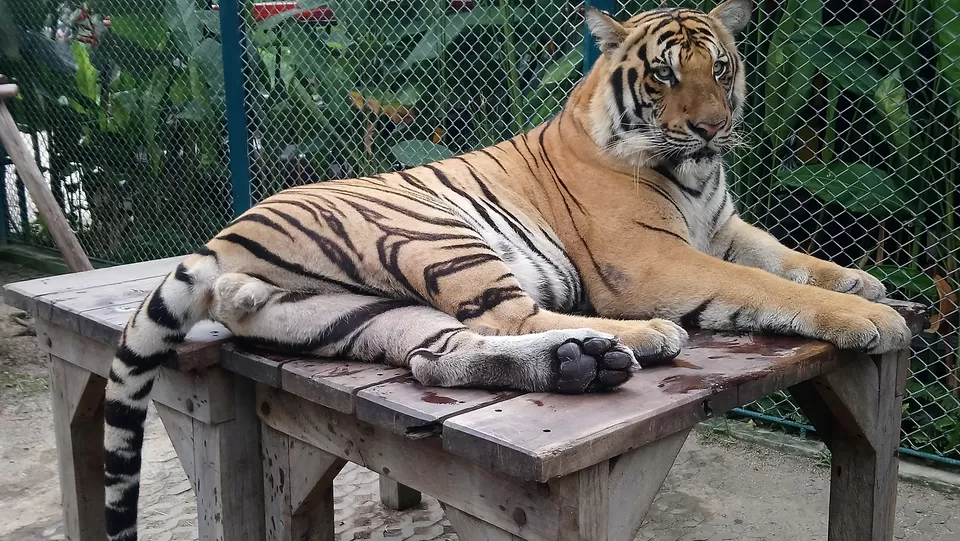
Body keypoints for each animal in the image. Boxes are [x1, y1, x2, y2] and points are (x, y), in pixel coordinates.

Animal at [102, 1, 911, 539]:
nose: (713, 127)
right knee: (509, 313)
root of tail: (226, 236)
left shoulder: (724, 228)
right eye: (662, 76)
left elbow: (787, 258)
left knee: (441, 354)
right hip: (434, 233)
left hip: (353, 313)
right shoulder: (654, 258)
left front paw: (862, 280)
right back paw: (639, 339)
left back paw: (583, 360)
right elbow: (764, 284)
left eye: (720, 68)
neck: (696, 174)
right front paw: (873, 316)